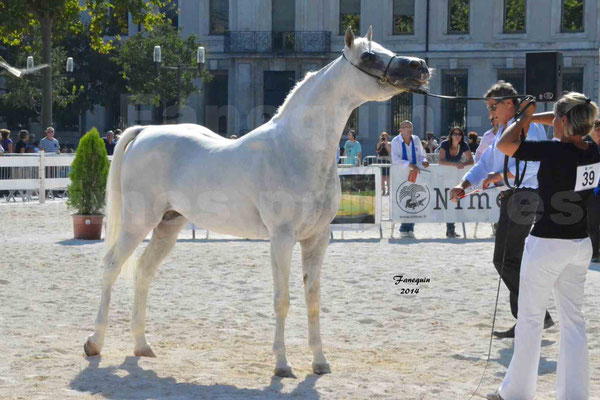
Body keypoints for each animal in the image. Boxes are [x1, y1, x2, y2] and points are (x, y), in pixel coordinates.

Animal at [84, 26, 432, 376]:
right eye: (368, 56)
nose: (419, 66)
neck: (297, 149)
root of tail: (144, 132)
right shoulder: (281, 238)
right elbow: (282, 299)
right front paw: (281, 364)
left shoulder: (317, 238)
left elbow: (313, 300)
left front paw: (319, 361)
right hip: (137, 222)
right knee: (112, 266)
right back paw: (94, 343)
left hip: (168, 225)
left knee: (143, 271)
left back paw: (142, 345)